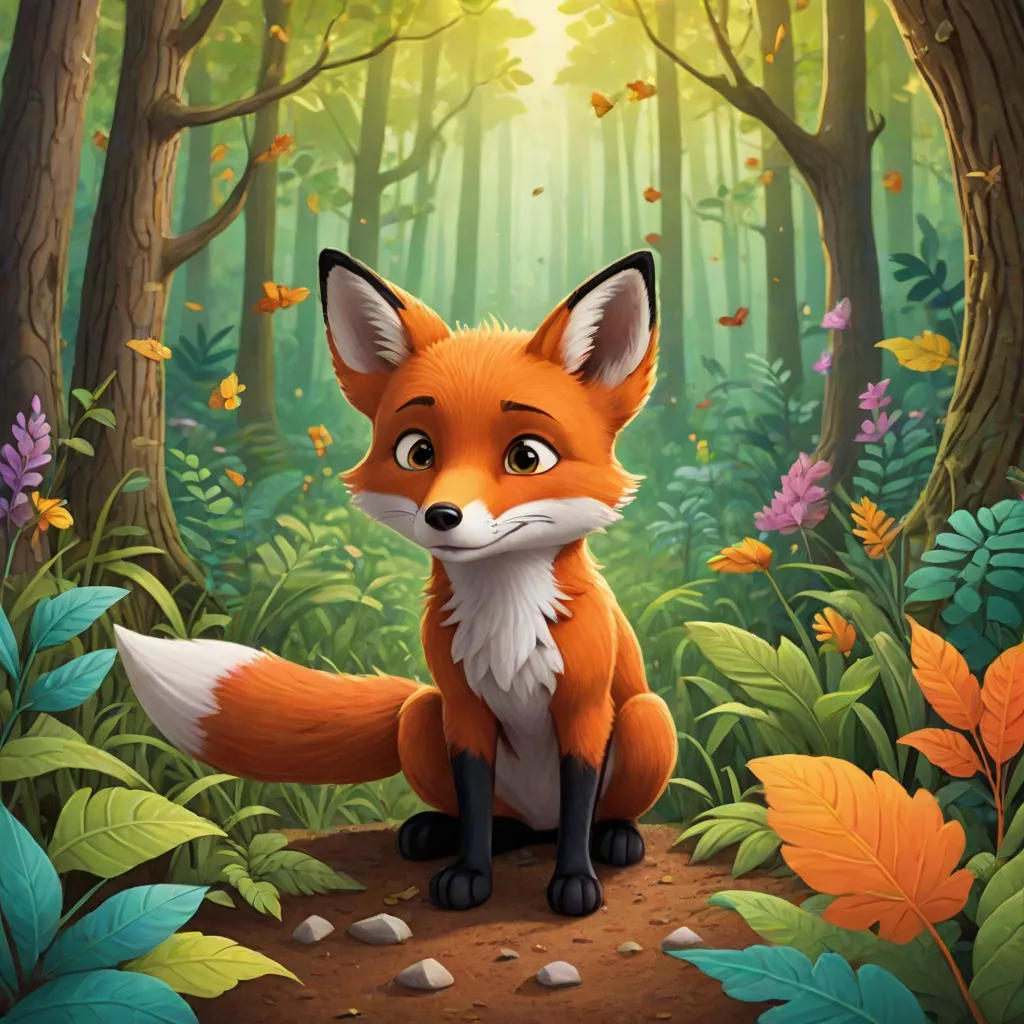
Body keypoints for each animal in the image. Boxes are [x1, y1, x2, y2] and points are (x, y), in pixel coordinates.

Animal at [114, 248, 678, 917]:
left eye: (527, 457)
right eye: (418, 451)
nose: (442, 516)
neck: (507, 627)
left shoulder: (584, 710)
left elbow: (578, 805)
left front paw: (575, 883)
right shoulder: (463, 711)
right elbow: (475, 807)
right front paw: (469, 875)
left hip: (646, 717)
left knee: (585, 814)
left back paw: (615, 837)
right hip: (422, 714)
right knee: (499, 819)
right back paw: (439, 832)